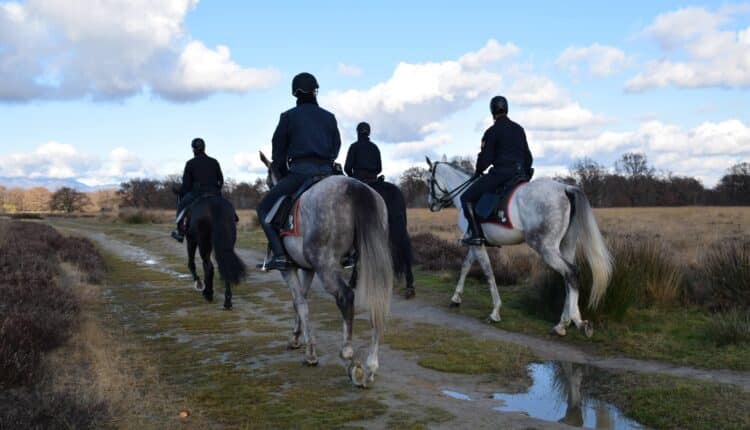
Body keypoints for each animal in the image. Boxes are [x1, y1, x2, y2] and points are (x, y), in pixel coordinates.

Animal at [259, 152, 393, 387]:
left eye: (268, 181)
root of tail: (355, 188)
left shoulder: (289, 269)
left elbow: (300, 303)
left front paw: (310, 353)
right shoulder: (307, 269)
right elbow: (300, 301)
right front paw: (296, 338)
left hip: (326, 266)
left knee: (346, 297)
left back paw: (349, 356)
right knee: (375, 305)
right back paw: (370, 366)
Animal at [425, 156, 612, 337]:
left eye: (428, 180)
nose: (431, 205)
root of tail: (565, 189)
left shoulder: (477, 245)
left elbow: (488, 273)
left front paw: (495, 312)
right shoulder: (475, 242)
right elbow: (465, 267)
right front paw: (455, 298)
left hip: (546, 248)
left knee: (571, 272)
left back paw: (569, 322)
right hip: (566, 246)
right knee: (568, 277)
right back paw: (568, 322)